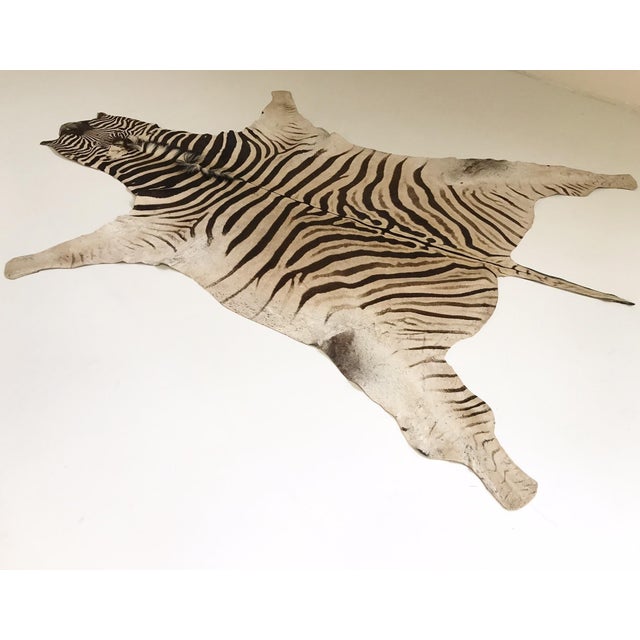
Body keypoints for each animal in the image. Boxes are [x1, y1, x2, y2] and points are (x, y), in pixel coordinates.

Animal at [5, 91, 636, 510]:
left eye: (79, 131)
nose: (61, 121)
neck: (177, 157)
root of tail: (489, 259)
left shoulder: (155, 227)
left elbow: (66, 252)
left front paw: (14, 265)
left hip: (386, 326)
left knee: (460, 422)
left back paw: (517, 494)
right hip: (397, 323)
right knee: (564, 177)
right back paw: (628, 179)